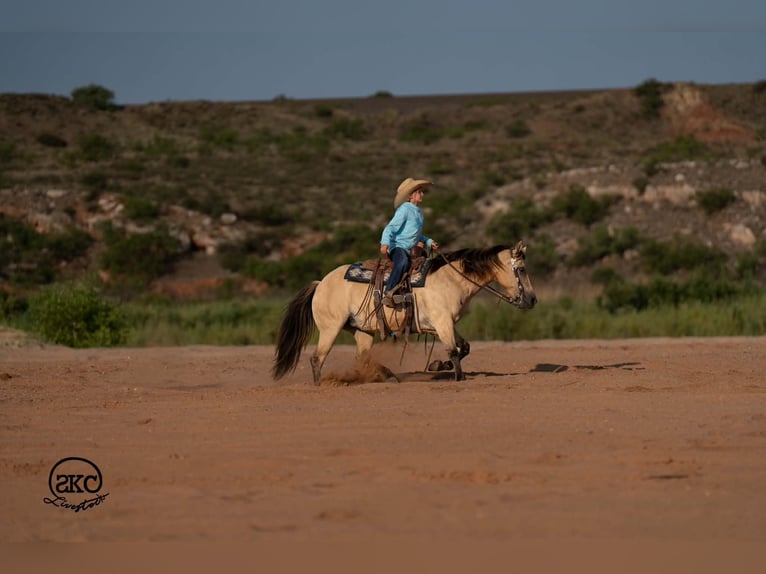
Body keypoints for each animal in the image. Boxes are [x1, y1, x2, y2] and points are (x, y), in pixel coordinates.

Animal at [272, 241, 537, 383]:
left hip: (362, 331)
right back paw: (322, 384)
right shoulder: (442, 322)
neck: (451, 279)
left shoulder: (445, 324)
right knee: (317, 358)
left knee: (362, 358)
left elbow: (464, 348)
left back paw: (385, 375)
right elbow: (454, 351)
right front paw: (457, 377)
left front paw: (437, 366)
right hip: (330, 328)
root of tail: (320, 283)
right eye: (522, 269)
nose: (533, 299)